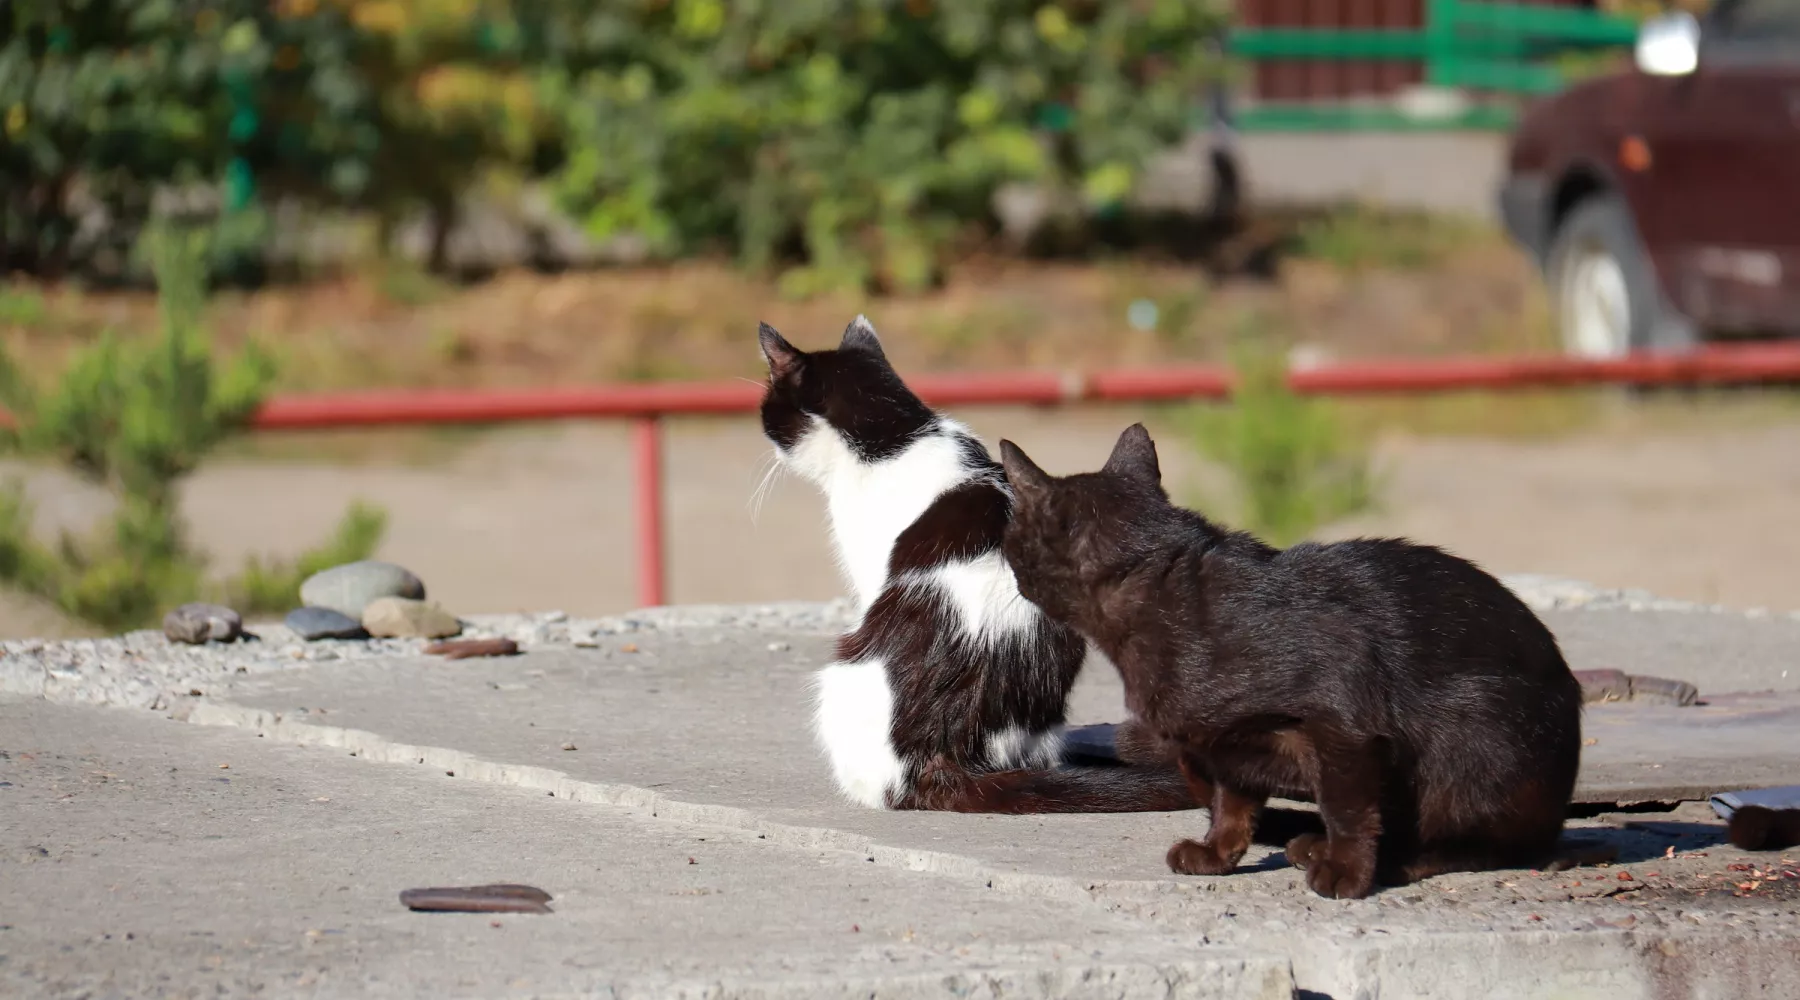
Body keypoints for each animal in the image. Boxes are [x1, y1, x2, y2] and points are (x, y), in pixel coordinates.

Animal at [1008, 422, 1584, 899]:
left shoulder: (1343, 722)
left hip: (1477, 725)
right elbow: (1231, 805)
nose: (1007, 563)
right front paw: (1217, 854)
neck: (1161, 595)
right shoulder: (1222, 746)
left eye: (1011, 538)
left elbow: (1346, 806)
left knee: (1488, 844)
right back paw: (1315, 843)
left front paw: (1347, 872)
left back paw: (1393, 859)